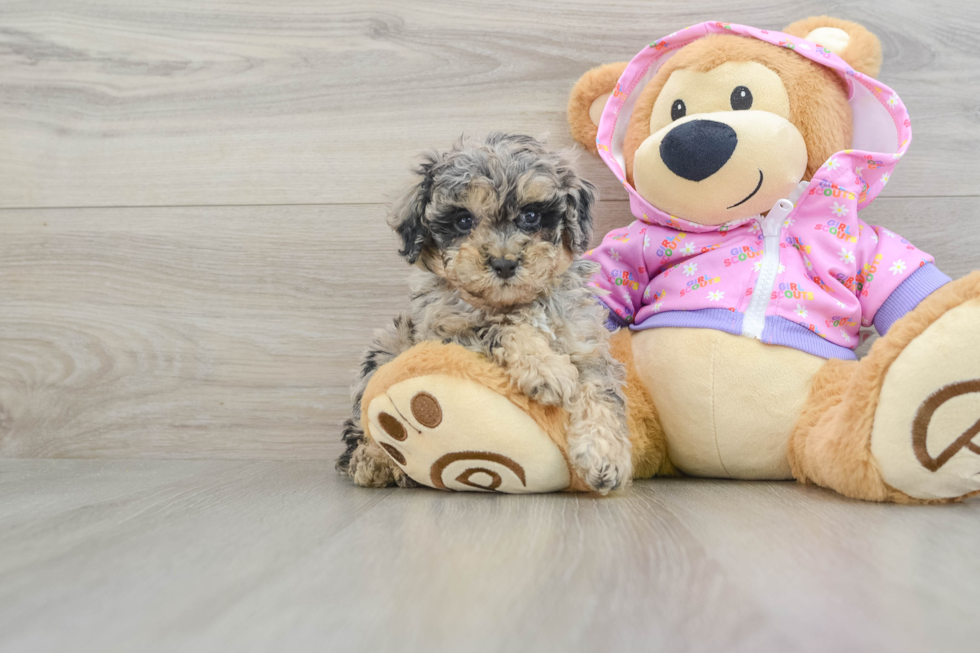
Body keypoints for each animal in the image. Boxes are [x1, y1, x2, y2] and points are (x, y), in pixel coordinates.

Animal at [334, 131, 628, 488]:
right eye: (463, 220)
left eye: (531, 216)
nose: (504, 263)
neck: (514, 303)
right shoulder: (446, 332)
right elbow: (500, 327)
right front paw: (546, 369)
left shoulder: (586, 344)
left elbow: (600, 392)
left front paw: (605, 455)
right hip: (388, 345)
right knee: (363, 424)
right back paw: (374, 461)